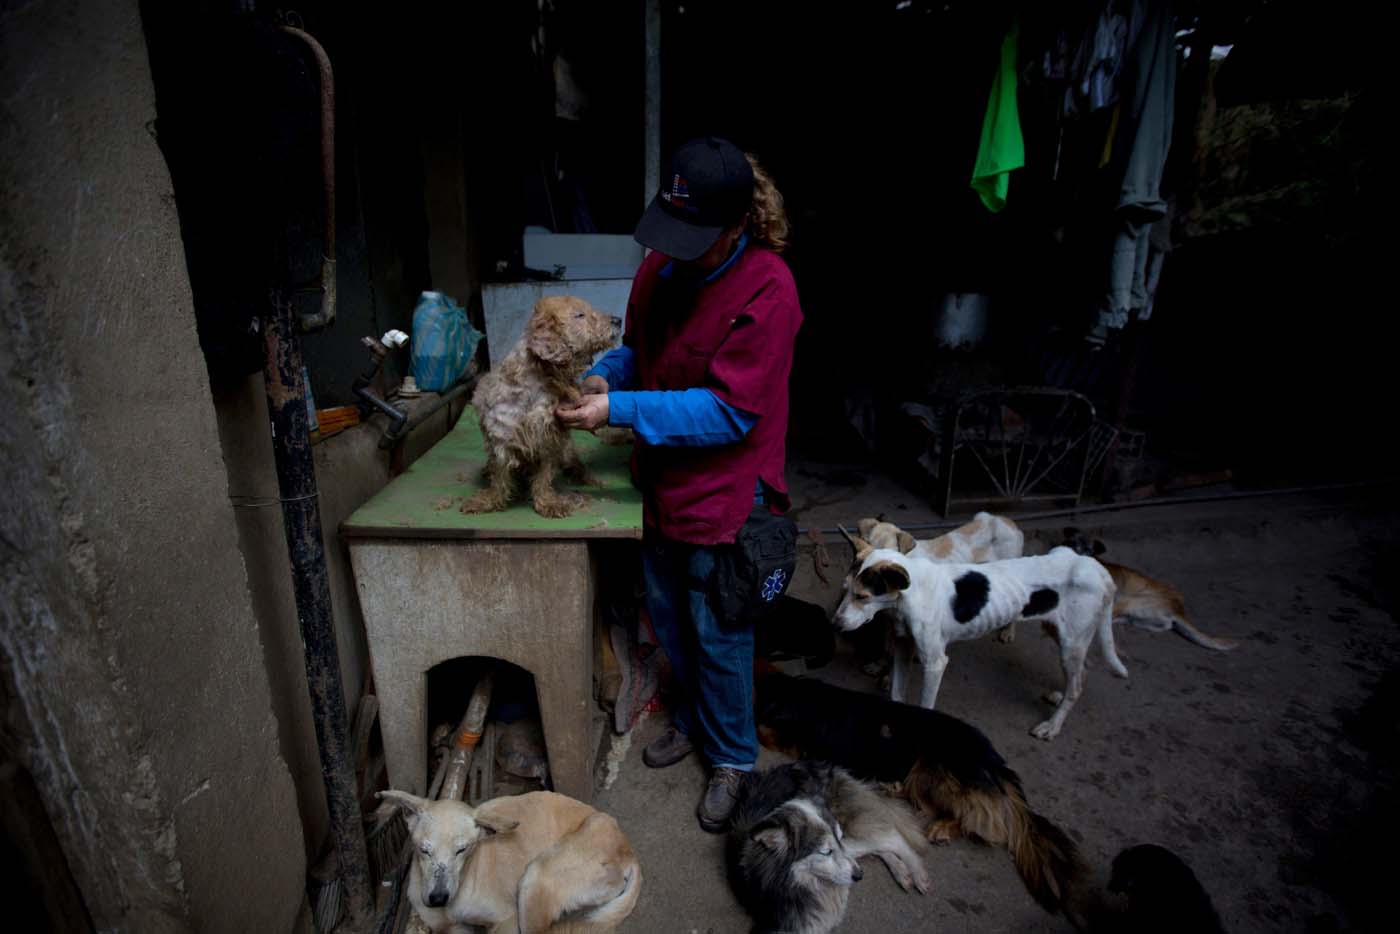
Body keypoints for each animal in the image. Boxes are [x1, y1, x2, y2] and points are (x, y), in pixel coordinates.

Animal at [383, 789, 644, 934]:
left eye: (462, 850)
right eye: (424, 850)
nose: (438, 899)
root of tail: (628, 851)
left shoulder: (507, 920)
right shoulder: (449, 929)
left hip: (536, 876)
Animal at [462, 295, 621, 518]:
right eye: (579, 315)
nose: (618, 320)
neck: (538, 383)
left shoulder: (549, 439)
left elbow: (544, 478)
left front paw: (547, 502)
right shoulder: (501, 436)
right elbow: (499, 478)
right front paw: (489, 500)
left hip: (566, 449)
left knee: (574, 463)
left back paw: (585, 476)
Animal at [756, 669, 1080, 918]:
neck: (798, 695)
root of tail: (997, 765)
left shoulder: (799, 744)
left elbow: (766, 734)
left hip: (931, 767)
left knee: (984, 824)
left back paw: (943, 827)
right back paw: (894, 789)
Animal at [828, 537, 1125, 739]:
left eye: (862, 596)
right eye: (845, 588)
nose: (834, 624)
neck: (907, 595)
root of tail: (1099, 570)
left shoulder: (935, 663)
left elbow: (926, 704)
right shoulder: (903, 649)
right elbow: (896, 695)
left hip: (1071, 643)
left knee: (1076, 685)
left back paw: (1052, 726)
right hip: (1062, 635)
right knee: (1082, 674)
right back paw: (1058, 697)